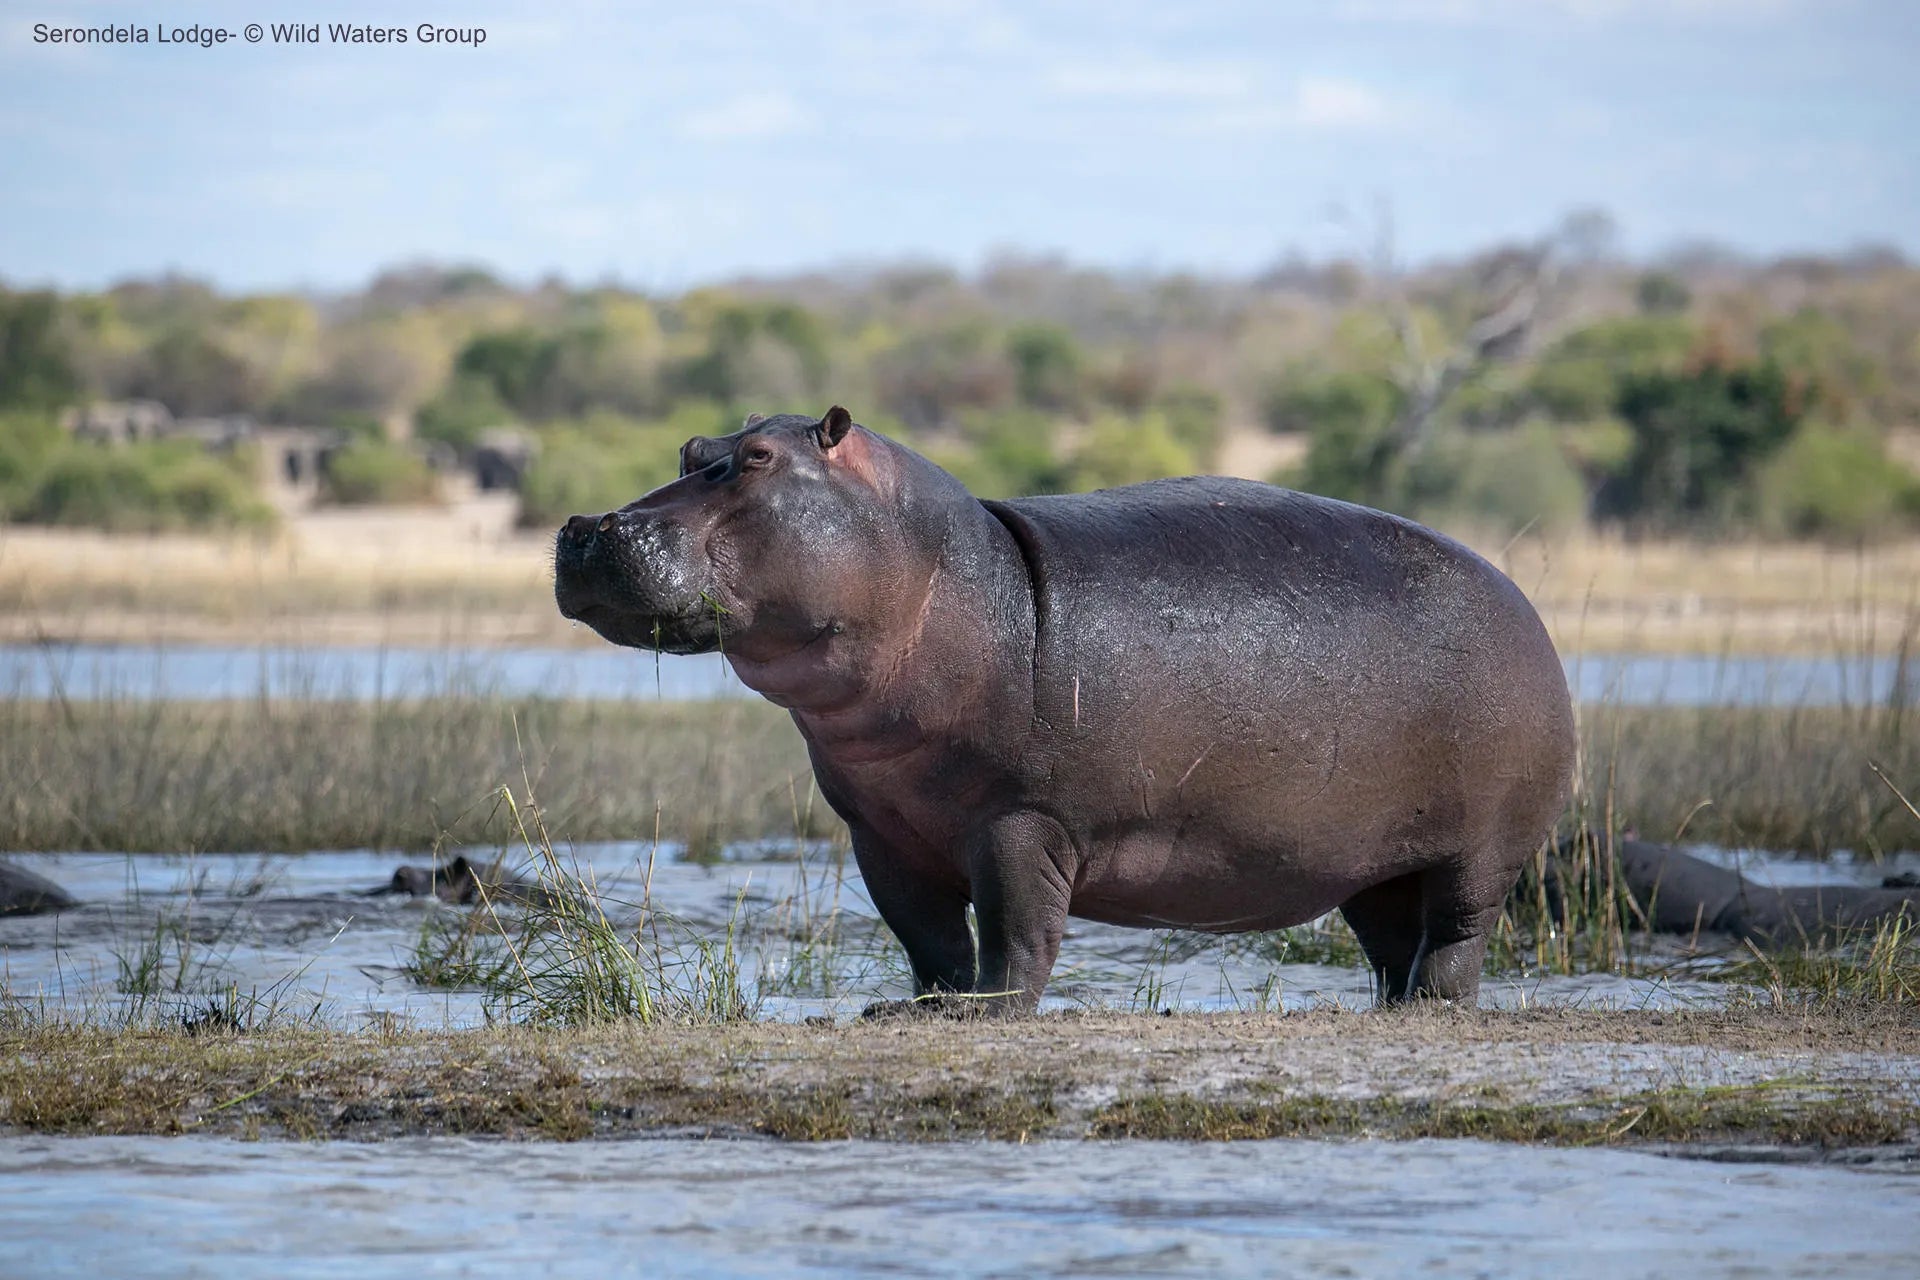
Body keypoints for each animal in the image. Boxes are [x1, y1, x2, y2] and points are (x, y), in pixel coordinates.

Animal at [553, 407, 1577, 1011]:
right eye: (691, 452)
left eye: (758, 459)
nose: (589, 525)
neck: (936, 569)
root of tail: (1524, 603)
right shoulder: (881, 831)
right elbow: (926, 937)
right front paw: (917, 1006)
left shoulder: (1023, 820)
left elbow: (1017, 935)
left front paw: (982, 1012)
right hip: (1369, 859)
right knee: (1393, 939)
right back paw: (1389, 1008)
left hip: (1481, 851)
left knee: (1458, 939)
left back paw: (1434, 1004)